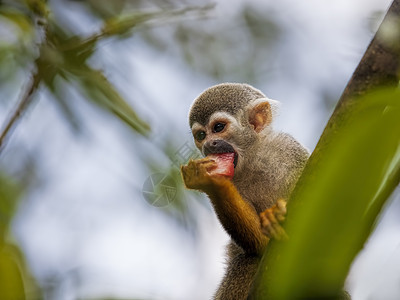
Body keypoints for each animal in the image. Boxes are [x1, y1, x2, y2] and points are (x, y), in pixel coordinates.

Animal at [180, 83, 310, 298]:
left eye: (218, 128)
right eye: (201, 135)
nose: (208, 145)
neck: (252, 159)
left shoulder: (288, 150)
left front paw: (276, 215)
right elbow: (261, 246)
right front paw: (212, 183)